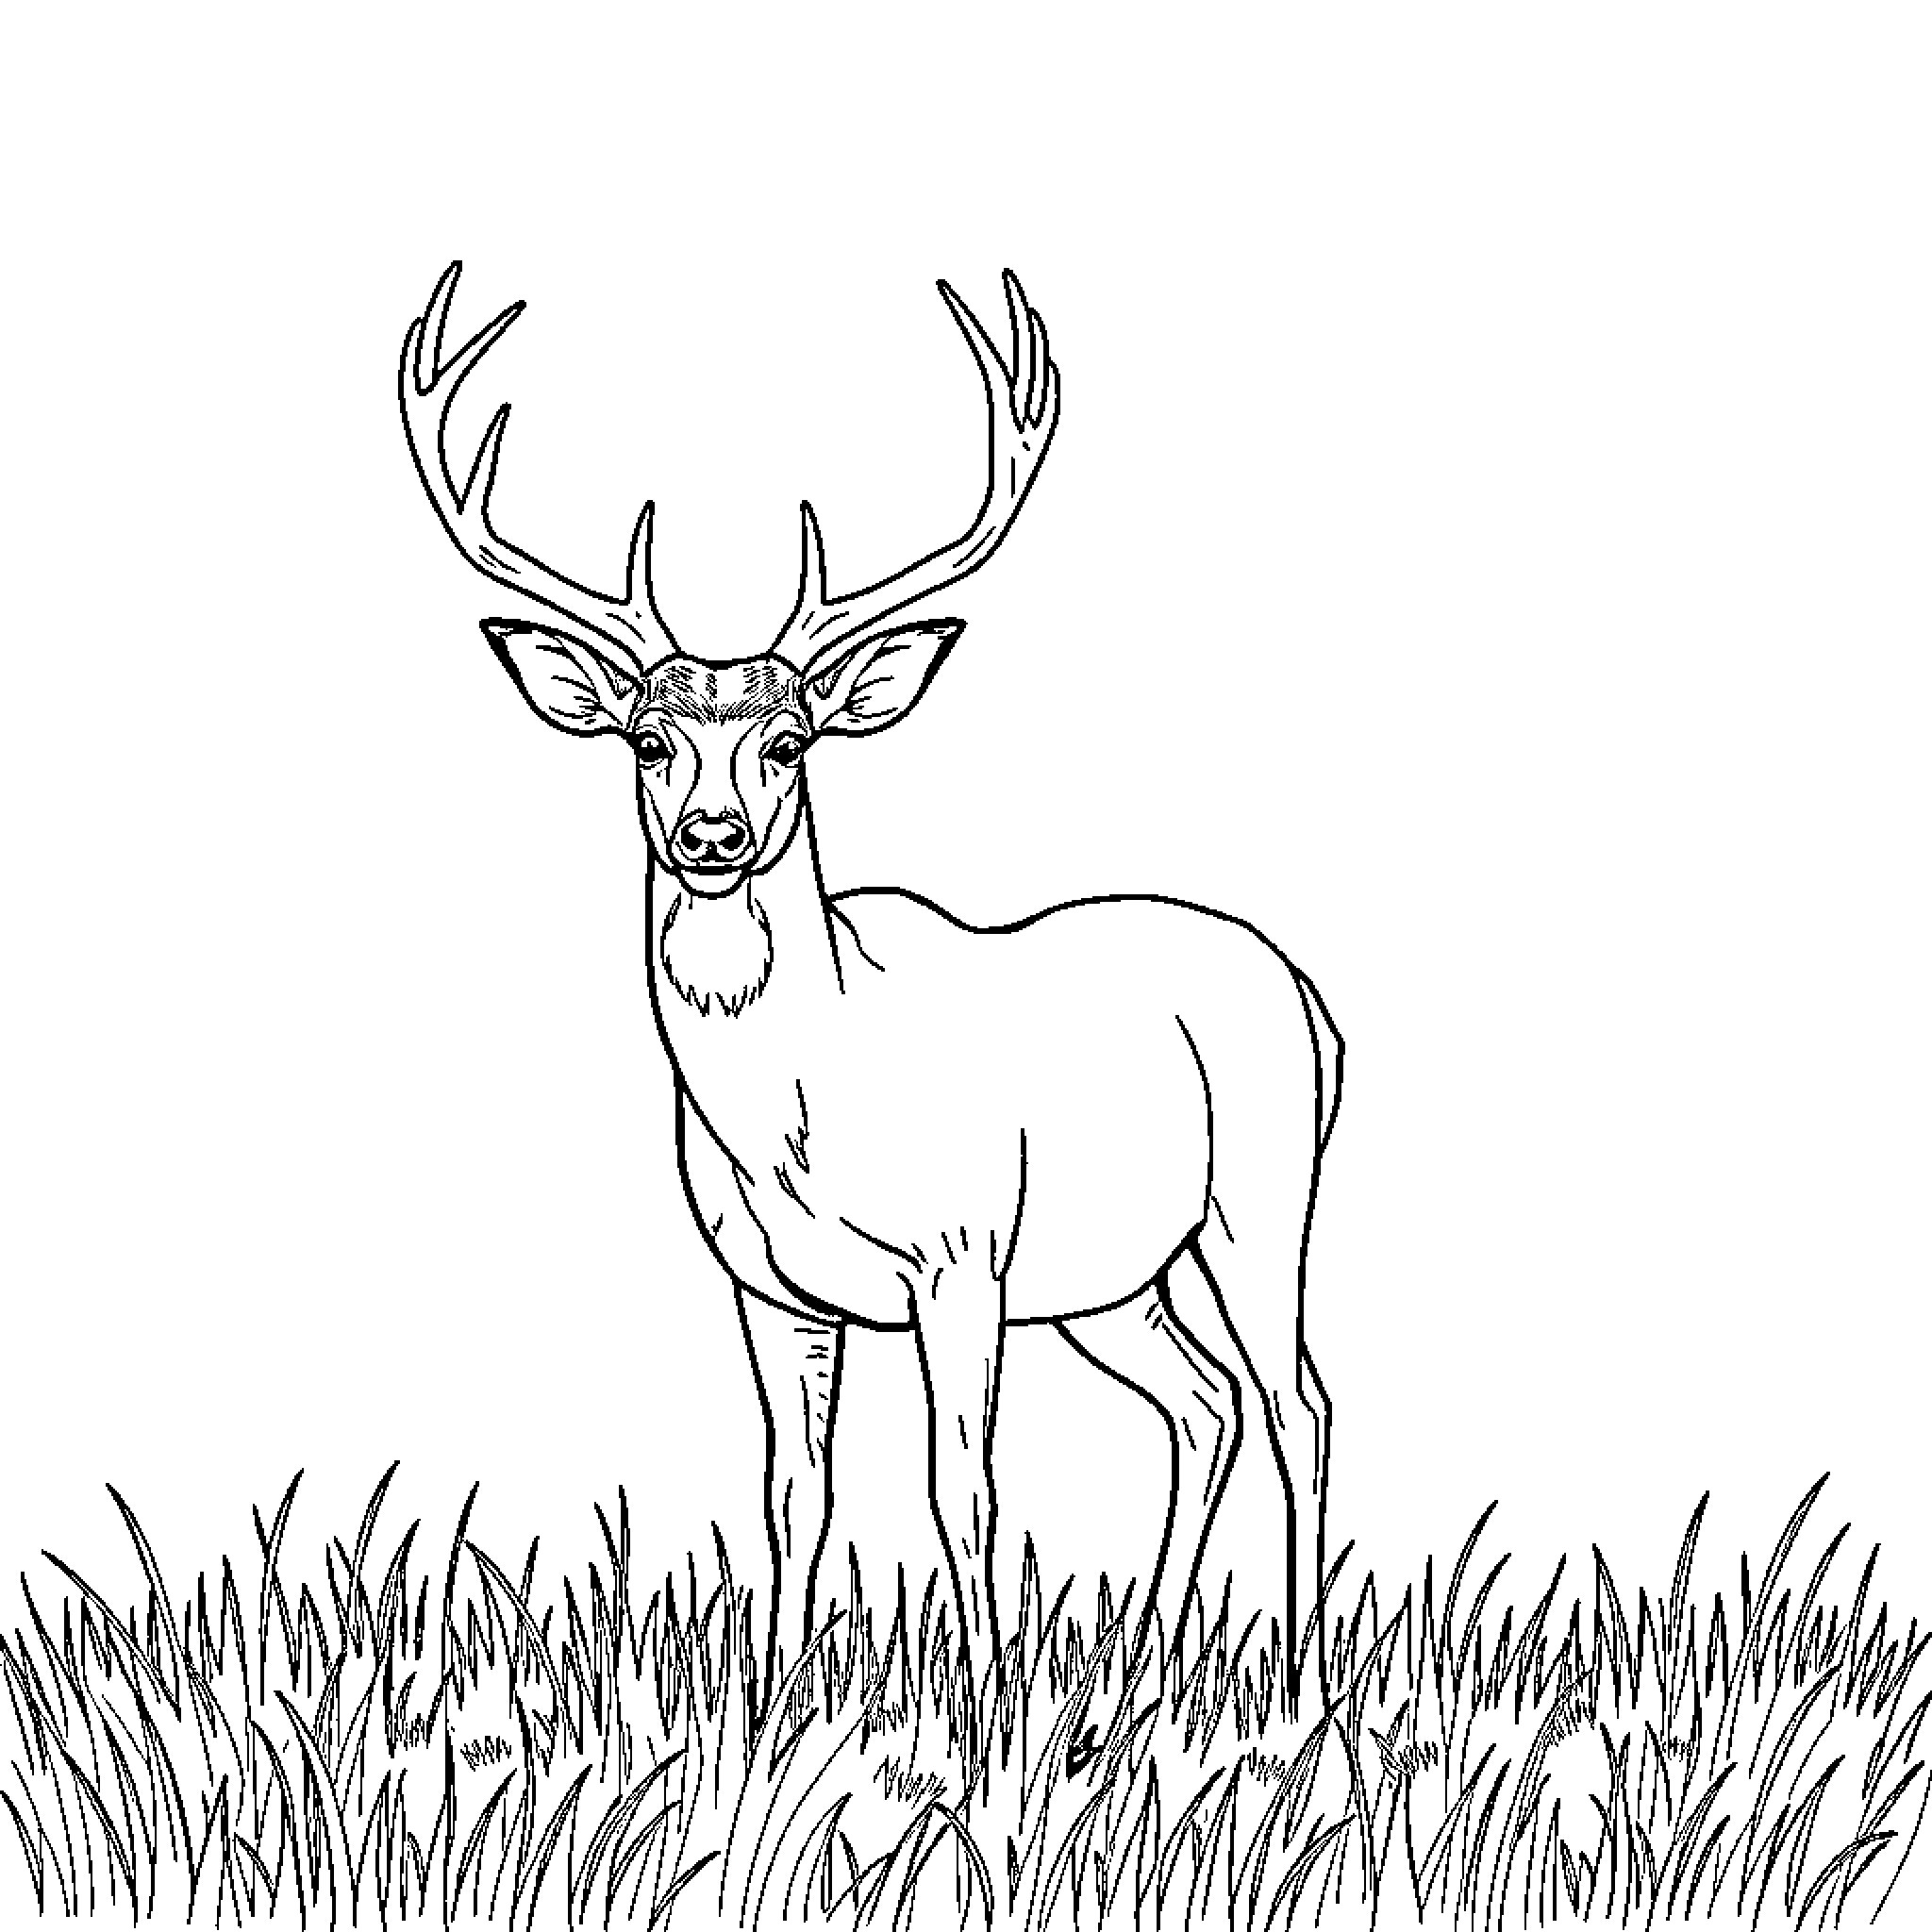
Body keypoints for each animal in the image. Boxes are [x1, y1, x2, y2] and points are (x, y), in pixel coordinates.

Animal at [398, 262, 1344, 1714]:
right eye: (649, 739)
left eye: (788, 740)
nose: (713, 835)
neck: (803, 1111)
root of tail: (1311, 1001)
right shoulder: (769, 1286)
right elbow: (796, 1491)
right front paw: (773, 1703)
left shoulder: (962, 1255)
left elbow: (967, 1488)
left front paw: (990, 1710)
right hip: (1113, 1275)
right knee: (1201, 1405)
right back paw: (1142, 1669)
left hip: (1258, 1193)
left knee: (1299, 1403)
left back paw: (1295, 1683)